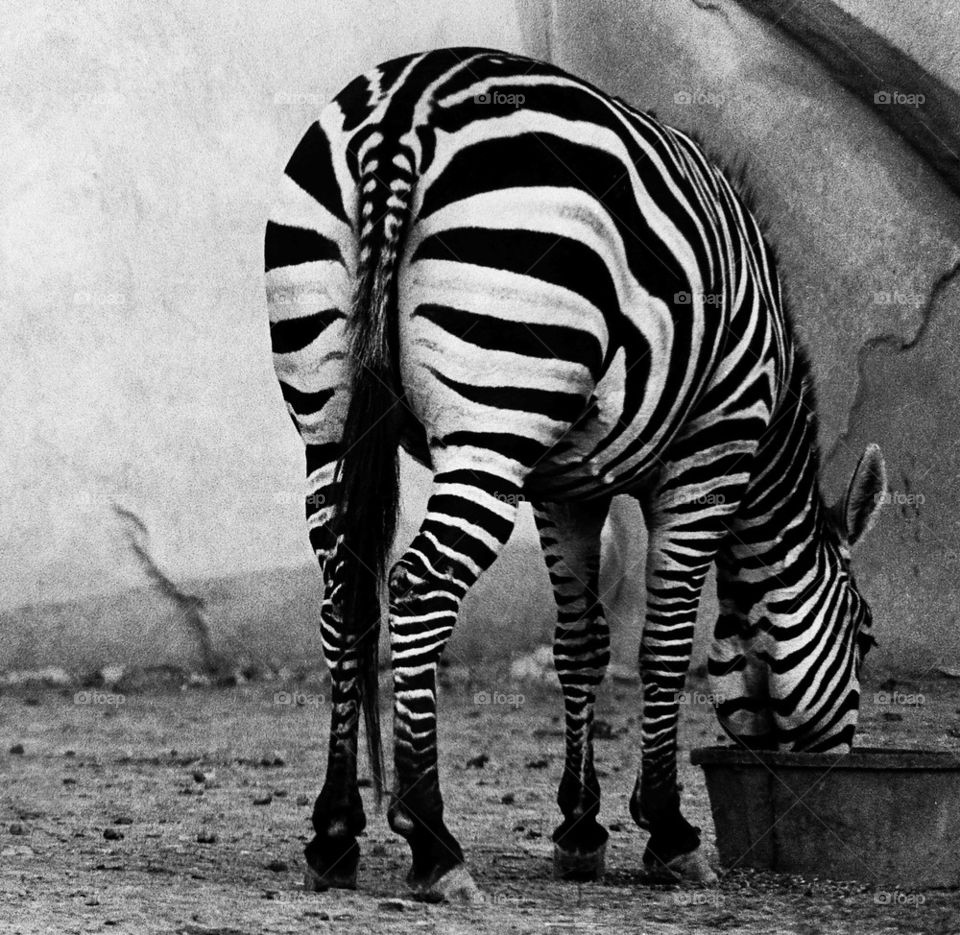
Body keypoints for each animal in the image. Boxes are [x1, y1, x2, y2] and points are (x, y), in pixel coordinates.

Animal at [264, 47, 886, 900]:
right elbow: (664, 641)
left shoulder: (566, 487)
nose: (836, 773)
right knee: (420, 584)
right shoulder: (712, 448)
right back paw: (434, 839)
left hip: (324, 415)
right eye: (866, 636)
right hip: (497, 409)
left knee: (342, 595)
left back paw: (333, 832)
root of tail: (408, 107)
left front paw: (581, 828)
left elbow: (580, 641)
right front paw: (667, 828)